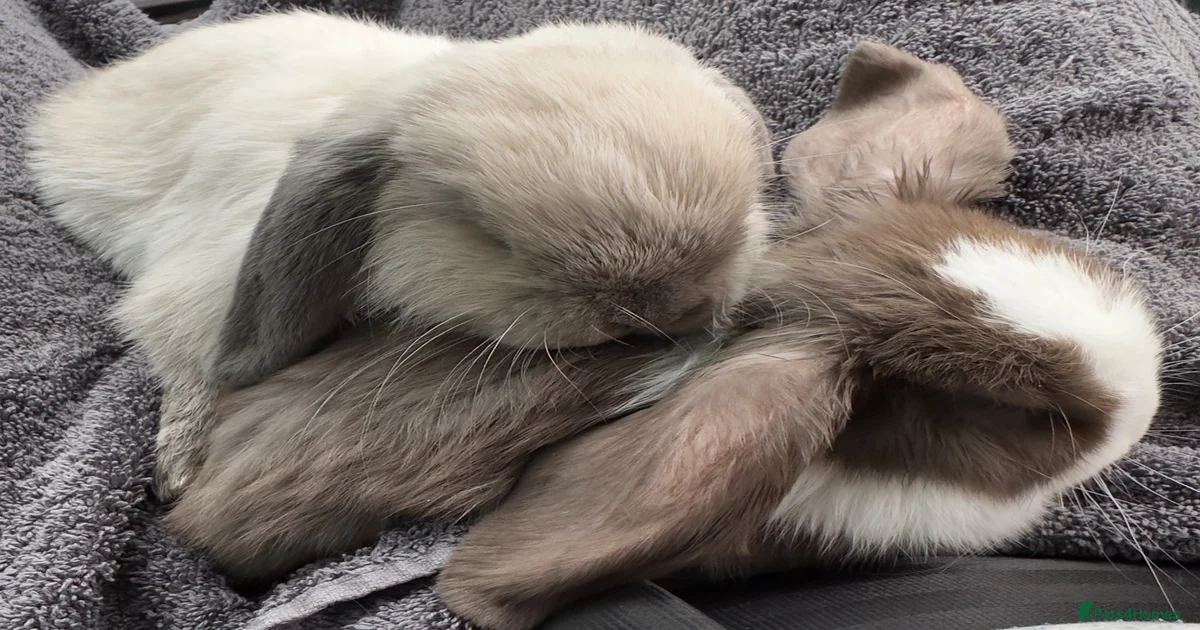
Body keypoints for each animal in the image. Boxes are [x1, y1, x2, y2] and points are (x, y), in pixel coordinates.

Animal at [24, 10, 774, 501]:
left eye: (743, 213)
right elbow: (193, 374)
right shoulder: (190, 299)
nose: (672, 308)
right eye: (485, 234)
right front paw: (180, 470)